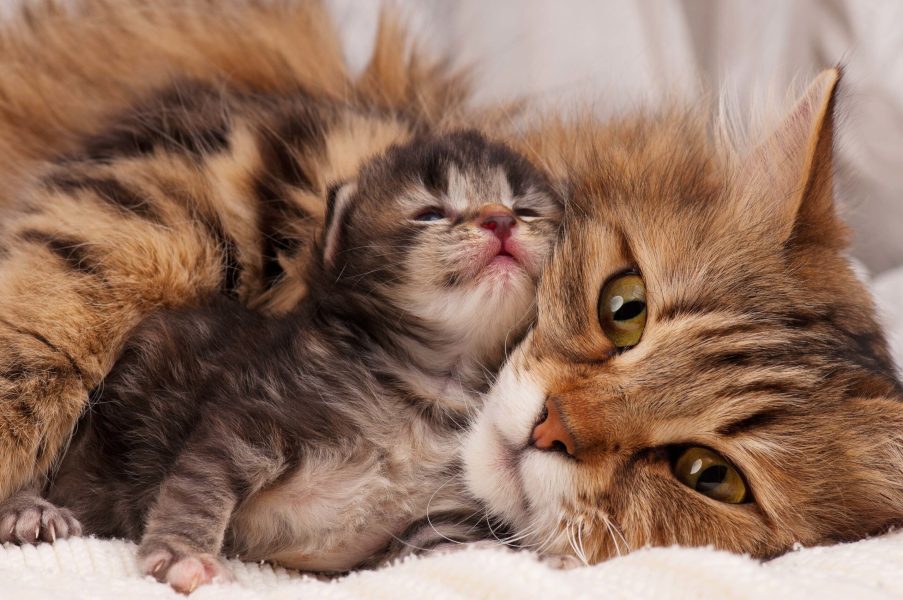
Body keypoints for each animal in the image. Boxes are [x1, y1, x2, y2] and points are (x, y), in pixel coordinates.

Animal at [0, 129, 560, 592]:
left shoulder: (434, 510)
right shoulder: (256, 419)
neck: (433, 383)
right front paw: (184, 553)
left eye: (527, 210)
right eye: (430, 213)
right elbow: (200, 484)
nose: (500, 220)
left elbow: (442, 544)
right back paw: (30, 511)